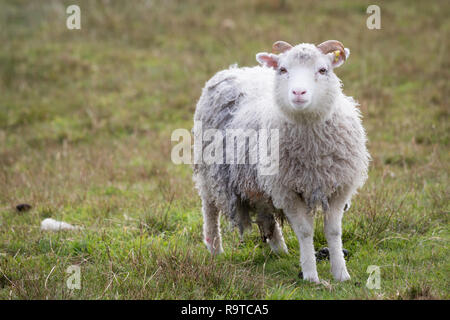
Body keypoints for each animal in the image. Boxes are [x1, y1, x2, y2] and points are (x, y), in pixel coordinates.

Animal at [192, 40, 370, 282]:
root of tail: (234, 69)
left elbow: (333, 231)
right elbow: (305, 231)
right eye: (283, 69)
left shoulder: (339, 187)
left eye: (323, 70)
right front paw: (311, 275)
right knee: (210, 208)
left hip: (257, 181)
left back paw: (280, 249)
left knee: (264, 210)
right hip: (209, 171)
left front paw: (341, 274)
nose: (298, 92)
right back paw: (215, 249)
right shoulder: (287, 191)